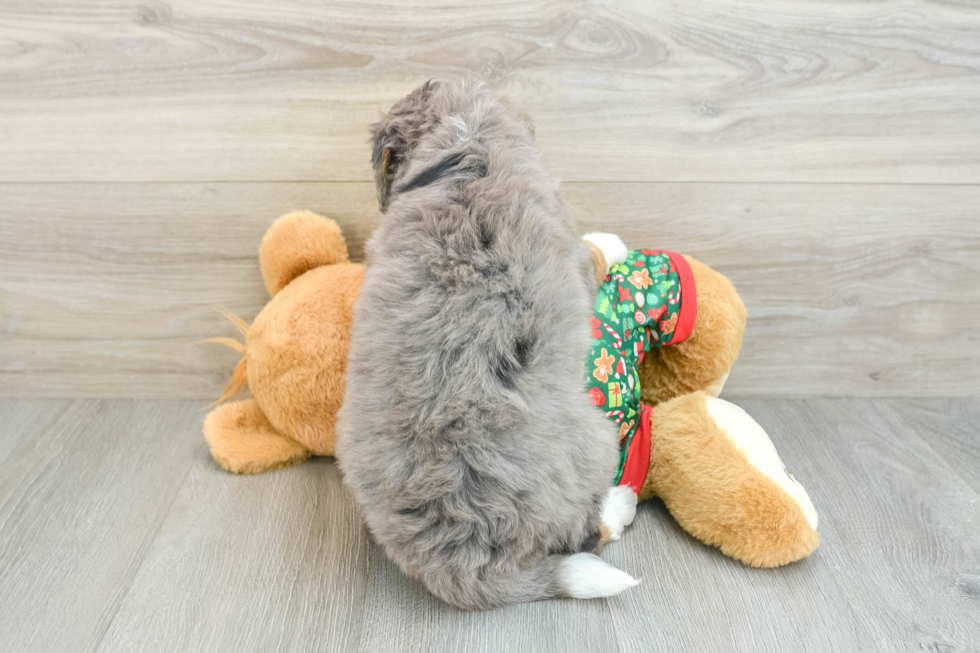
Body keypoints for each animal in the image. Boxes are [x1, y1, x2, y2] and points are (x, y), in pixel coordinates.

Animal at [336, 81, 640, 612]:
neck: (465, 135)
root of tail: (463, 564)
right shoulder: (575, 255)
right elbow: (594, 252)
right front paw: (612, 241)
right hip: (598, 440)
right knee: (588, 532)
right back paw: (620, 504)